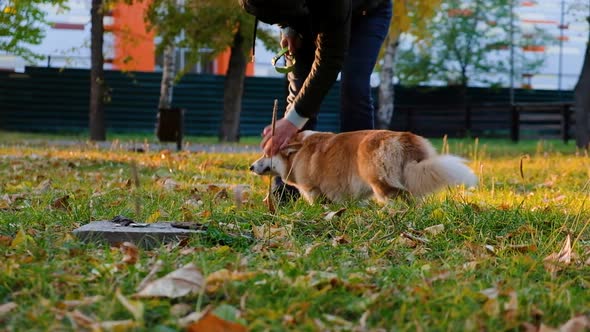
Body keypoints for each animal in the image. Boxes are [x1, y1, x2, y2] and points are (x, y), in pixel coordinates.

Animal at [251, 130, 480, 205]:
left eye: (266, 154)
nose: (251, 167)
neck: (298, 151)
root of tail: (404, 139)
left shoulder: (313, 189)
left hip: (379, 182)